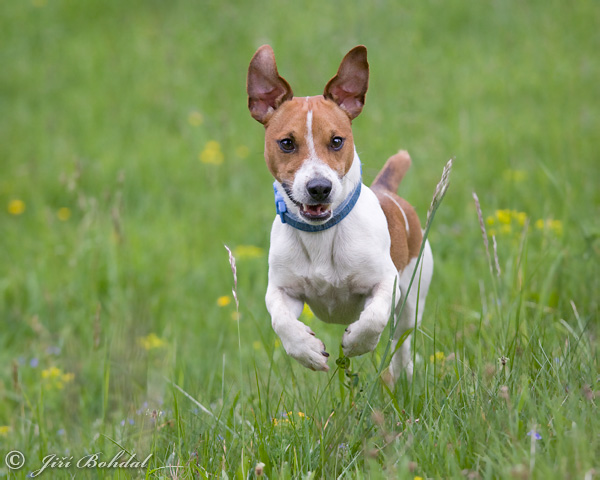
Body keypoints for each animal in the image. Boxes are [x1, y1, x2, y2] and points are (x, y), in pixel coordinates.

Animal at [246, 44, 434, 382]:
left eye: (336, 141)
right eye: (286, 143)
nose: (319, 188)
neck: (322, 233)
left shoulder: (386, 282)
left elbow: (374, 316)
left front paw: (357, 342)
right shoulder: (282, 289)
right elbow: (281, 319)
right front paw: (307, 351)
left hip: (413, 296)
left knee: (401, 340)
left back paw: (402, 373)